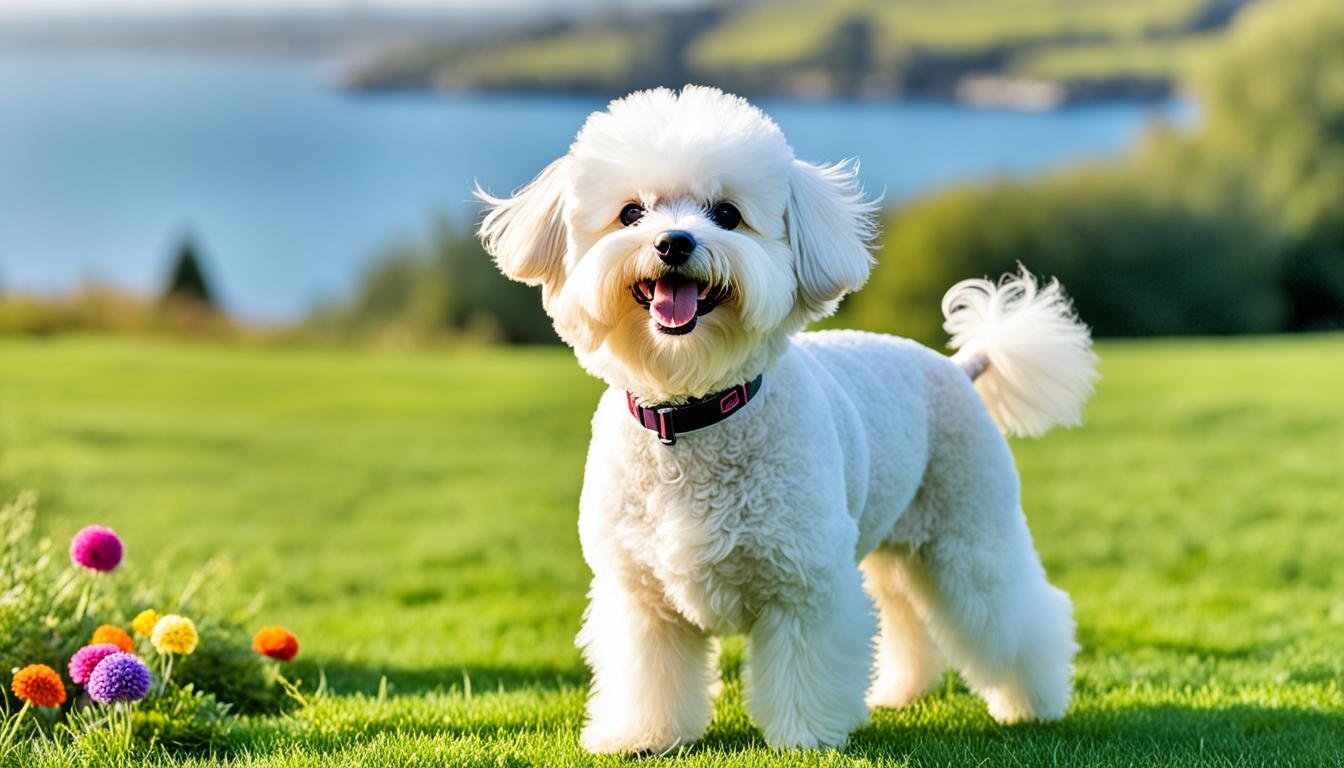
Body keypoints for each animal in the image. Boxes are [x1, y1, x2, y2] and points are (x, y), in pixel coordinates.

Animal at [478, 85, 1096, 753]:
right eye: (631, 213)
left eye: (726, 214)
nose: (673, 243)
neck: (693, 413)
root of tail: (963, 366)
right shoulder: (641, 597)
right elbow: (649, 674)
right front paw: (642, 735)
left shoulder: (805, 586)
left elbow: (805, 666)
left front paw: (806, 737)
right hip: (892, 547)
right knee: (904, 614)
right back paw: (900, 691)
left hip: (969, 538)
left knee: (1016, 616)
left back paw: (1032, 703)